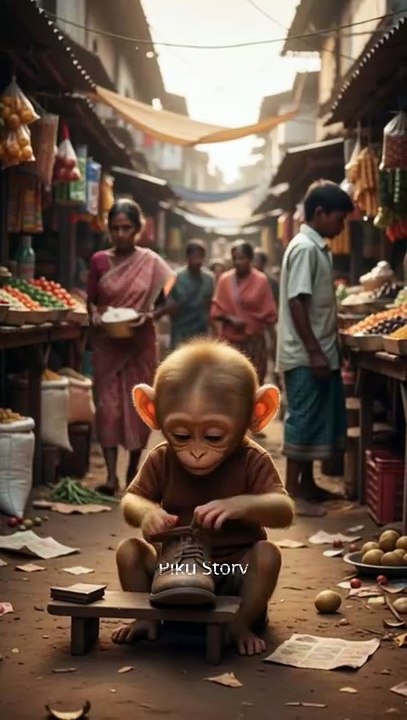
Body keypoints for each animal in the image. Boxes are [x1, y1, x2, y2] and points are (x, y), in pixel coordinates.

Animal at [112, 338, 294, 656]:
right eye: (181, 436)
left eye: (213, 437)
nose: (197, 454)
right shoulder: (157, 455)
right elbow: (134, 497)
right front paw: (155, 519)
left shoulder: (260, 459)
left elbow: (280, 504)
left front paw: (220, 508)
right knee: (129, 550)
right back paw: (141, 625)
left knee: (266, 557)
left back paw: (241, 632)